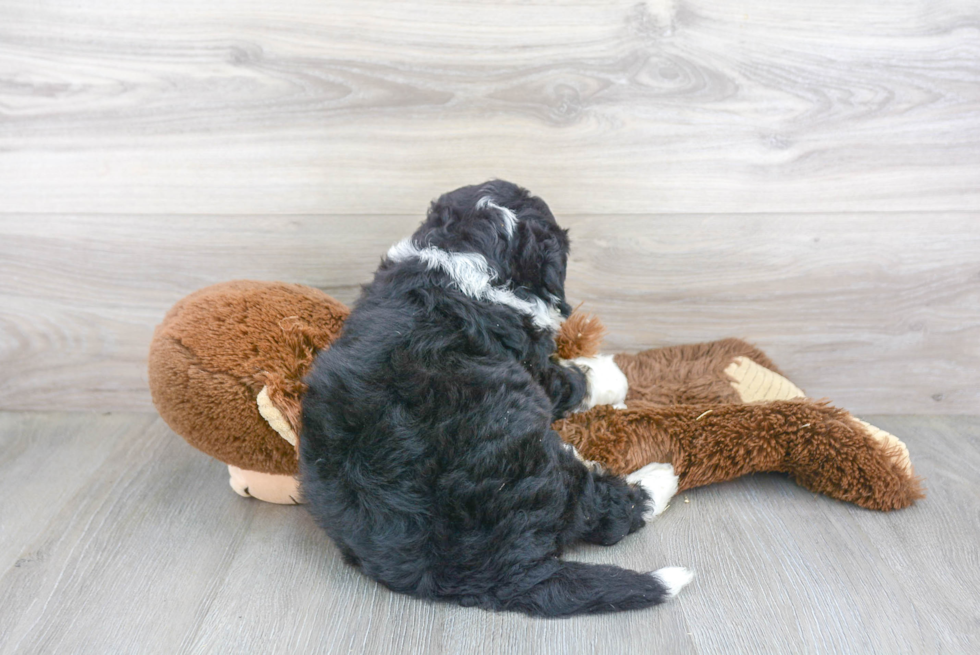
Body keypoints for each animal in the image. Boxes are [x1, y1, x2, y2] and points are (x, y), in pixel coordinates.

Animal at [298, 179, 688, 616]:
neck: (459, 256)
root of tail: (483, 573)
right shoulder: (537, 371)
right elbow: (575, 379)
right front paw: (614, 374)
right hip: (527, 457)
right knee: (604, 510)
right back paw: (658, 478)